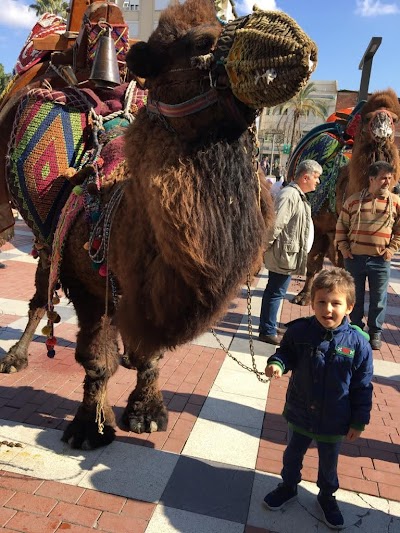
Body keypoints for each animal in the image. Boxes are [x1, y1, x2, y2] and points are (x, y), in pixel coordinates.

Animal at [0, 1, 318, 448]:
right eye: (201, 42)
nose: (298, 45)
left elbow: (148, 354)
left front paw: (146, 413)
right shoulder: (87, 284)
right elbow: (96, 359)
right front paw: (89, 427)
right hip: (51, 242)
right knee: (41, 298)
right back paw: (16, 357)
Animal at [290, 87, 400, 304]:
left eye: (395, 119)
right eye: (367, 117)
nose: (382, 123)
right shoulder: (318, 225)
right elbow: (313, 261)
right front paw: (304, 296)